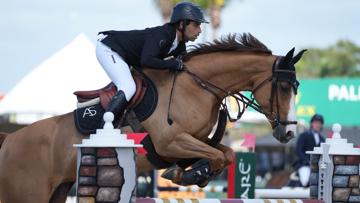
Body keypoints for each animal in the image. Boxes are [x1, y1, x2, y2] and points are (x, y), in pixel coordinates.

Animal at [0, 34, 306, 202]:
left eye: (297, 87)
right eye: (283, 87)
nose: (290, 133)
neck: (196, 86)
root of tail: (10, 139)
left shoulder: (194, 141)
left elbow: (226, 154)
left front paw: (189, 173)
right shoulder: (171, 142)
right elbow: (217, 156)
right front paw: (189, 174)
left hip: (58, 191)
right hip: (28, 194)